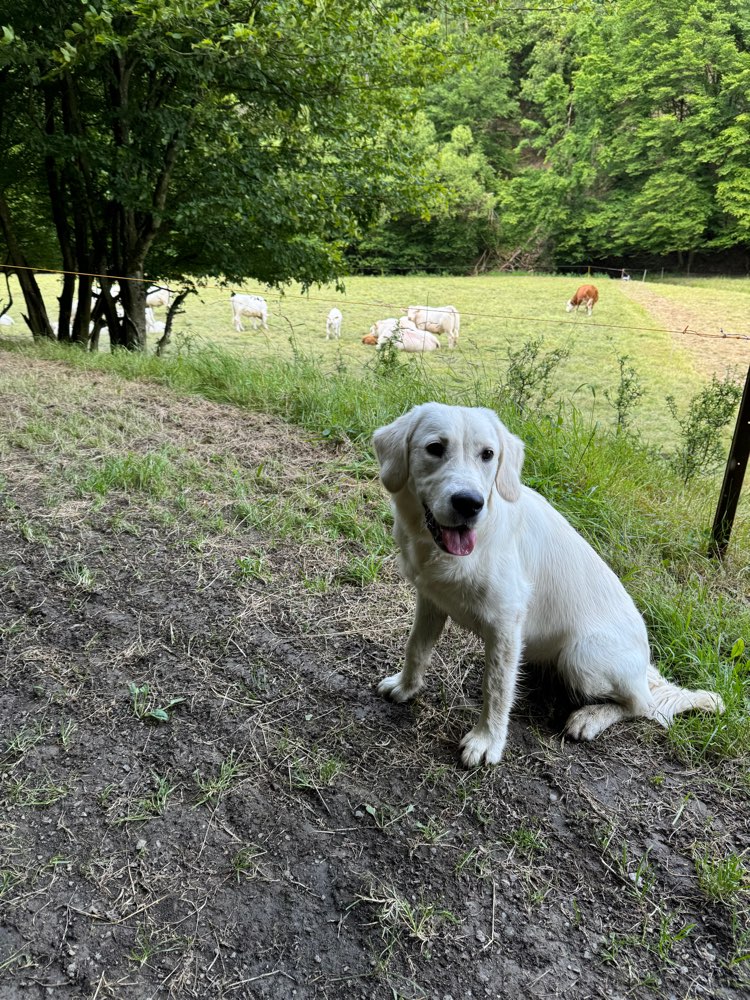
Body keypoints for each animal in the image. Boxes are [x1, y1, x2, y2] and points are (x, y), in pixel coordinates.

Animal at [374, 402, 724, 768]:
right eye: (435, 448)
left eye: (488, 454)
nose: (469, 503)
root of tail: (645, 669)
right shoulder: (430, 599)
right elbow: (416, 647)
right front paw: (406, 686)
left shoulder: (505, 622)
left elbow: (496, 688)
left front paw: (487, 740)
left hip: (581, 656)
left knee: (642, 705)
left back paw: (590, 717)